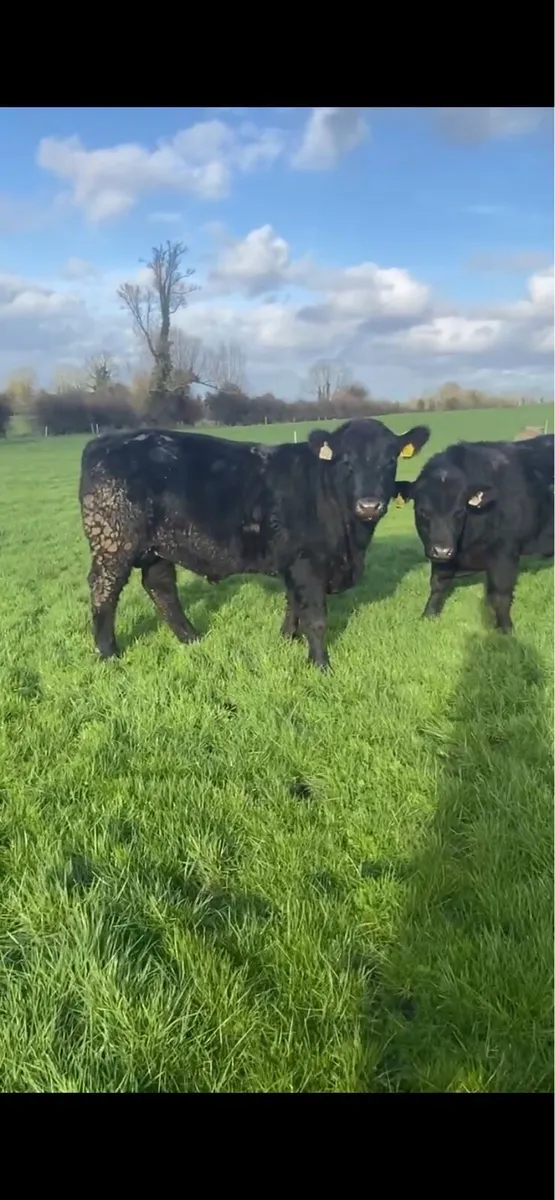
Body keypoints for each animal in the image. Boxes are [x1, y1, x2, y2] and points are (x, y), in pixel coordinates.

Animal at [79, 418, 430, 669]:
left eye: (390, 461)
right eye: (345, 461)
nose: (369, 505)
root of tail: (103, 440)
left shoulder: (293, 561)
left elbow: (294, 606)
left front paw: (287, 640)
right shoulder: (307, 563)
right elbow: (315, 618)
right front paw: (320, 665)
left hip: (157, 547)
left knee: (161, 587)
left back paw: (191, 638)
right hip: (113, 542)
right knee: (104, 591)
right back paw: (108, 653)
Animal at [394, 434, 554, 632]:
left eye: (459, 511)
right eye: (423, 511)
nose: (442, 550)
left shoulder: (505, 553)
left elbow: (500, 594)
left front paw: (505, 629)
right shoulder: (442, 557)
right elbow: (438, 583)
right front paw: (428, 615)